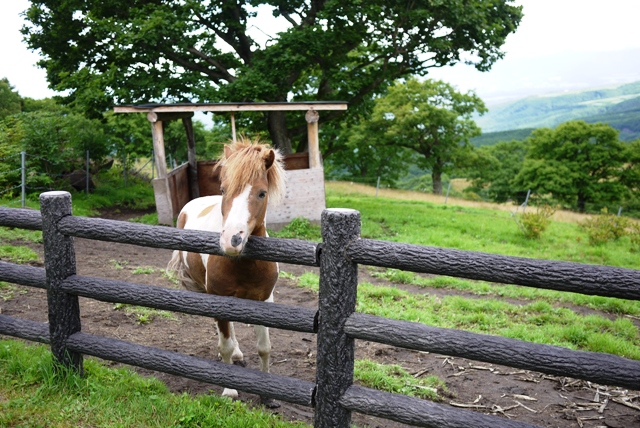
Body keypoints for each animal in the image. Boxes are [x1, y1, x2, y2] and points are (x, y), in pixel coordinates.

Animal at [168, 138, 284, 408]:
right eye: (223, 190)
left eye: (261, 193)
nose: (232, 240)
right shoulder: (219, 299)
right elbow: (225, 347)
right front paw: (230, 391)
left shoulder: (265, 301)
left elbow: (264, 347)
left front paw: (268, 394)